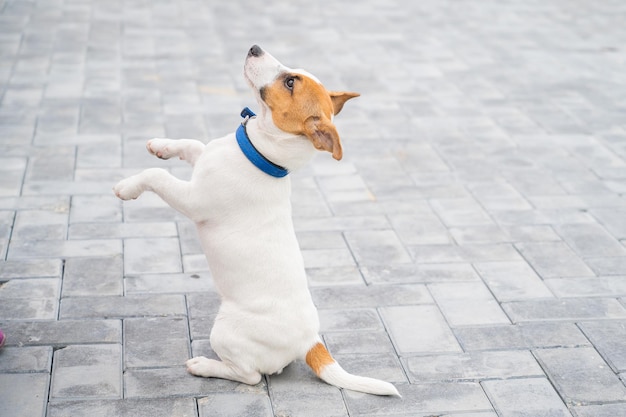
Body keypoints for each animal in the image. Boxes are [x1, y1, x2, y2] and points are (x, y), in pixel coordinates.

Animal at [112, 44, 398, 394]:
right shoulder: (201, 157)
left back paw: (205, 366)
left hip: (226, 332)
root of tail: (310, 342)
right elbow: (191, 144)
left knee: (250, 376)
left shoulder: (194, 201)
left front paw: (127, 187)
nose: (255, 47)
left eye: (290, 83)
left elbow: (157, 176)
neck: (260, 154)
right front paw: (160, 145)